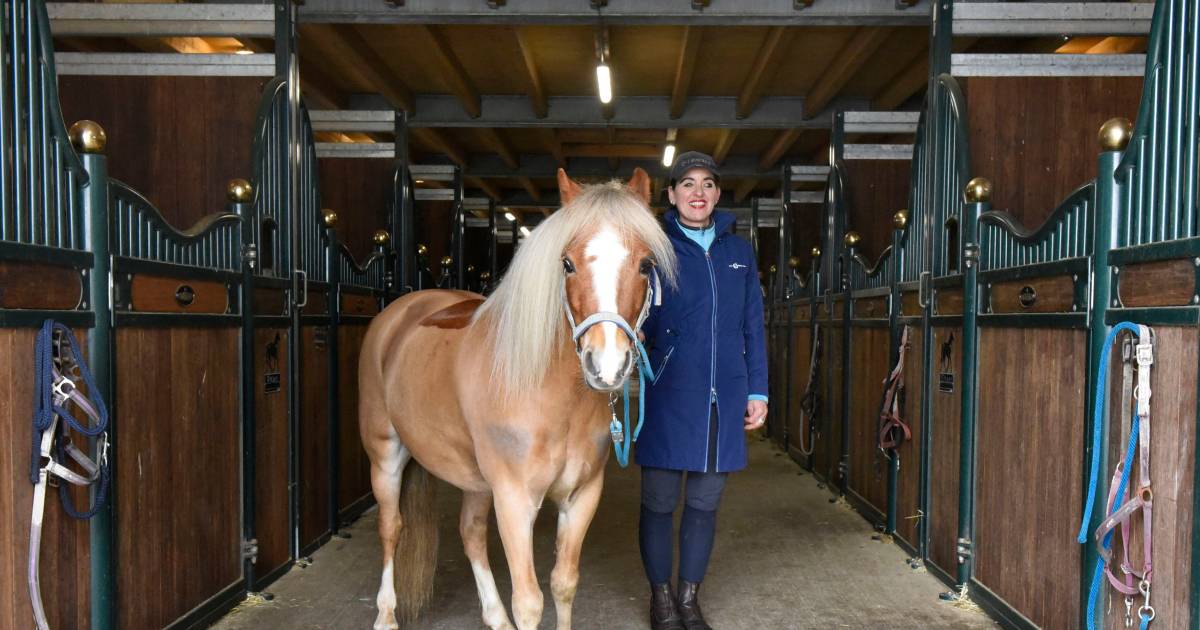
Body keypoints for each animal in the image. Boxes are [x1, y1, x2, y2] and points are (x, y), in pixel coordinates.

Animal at [358, 168, 677, 630]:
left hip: (474, 477)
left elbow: (563, 584)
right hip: (385, 454)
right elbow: (529, 602)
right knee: (390, 526)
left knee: (471, 533)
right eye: (567, 263)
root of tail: (400, 312)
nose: (606, 366)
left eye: (646, 264)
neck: (554, 399)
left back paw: (494, 617)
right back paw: (385, 614)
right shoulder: (514, 500)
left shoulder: (582, 496)